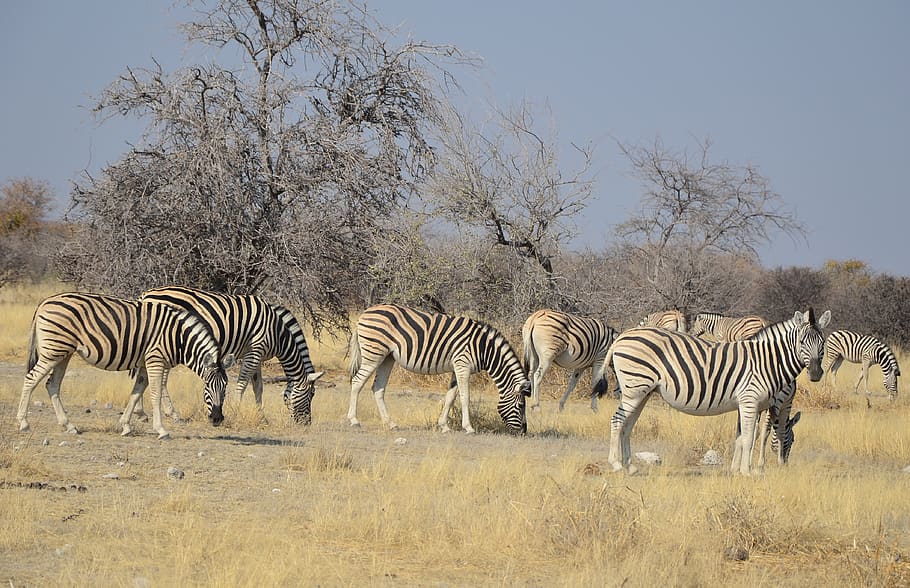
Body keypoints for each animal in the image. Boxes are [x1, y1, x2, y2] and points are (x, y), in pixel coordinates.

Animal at [16, 292, 228, 439]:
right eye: (207, 388)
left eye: (225, 389)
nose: (217, 419)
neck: (178, 338)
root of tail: (45, 301)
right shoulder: (155, 360)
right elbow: (155, 393)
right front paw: (161, 430)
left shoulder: (144, 364)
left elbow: (136, 392)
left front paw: (126, 426)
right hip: (54, 351)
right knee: (31, 379)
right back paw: (24, 423)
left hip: (63, 353)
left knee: (52, 384)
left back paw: (69, 425)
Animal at [138, 286, 324, 424]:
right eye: (311, 395)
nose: (306, 424)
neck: (278, 333)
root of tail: (145, 295)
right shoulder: (255, 350)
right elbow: (242, 383)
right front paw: (235, 410)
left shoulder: (256, 354)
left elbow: (258, 386)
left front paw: (261, 417)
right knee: (159, 379)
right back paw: (172, 414)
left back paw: (142, 413)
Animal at [347, 304, 530, 435]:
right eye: (521, 405)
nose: (523, 432)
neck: (484, 348)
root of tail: (364, 313)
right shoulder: (463, 365)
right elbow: (465, 397)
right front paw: (469, 427)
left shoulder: (457, 368)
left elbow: (450, 397)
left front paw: (444, 426)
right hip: (374, 353)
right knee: (357, 382)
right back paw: (354, 420)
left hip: (387, 357)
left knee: (378, 388)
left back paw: (391, 424)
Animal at [602, 308, 830, 475]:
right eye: (802, 342)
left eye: (823, 342)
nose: (816, 373)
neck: (766, 361)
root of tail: (624, 336)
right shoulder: (750, 401)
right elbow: (751, 437)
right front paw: (748, 472)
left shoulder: (748, 405)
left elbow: (741, 437)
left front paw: (736, 470)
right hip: (635, 389)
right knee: (617, 421)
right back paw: (616, 464)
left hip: (642, 392)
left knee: (627, 425)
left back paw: (630, 466)